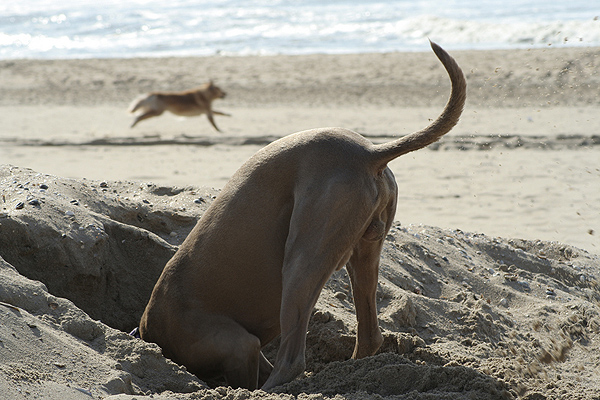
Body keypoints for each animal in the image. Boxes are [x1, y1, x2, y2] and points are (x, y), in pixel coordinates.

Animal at [141, 43, 468, 390]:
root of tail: (368, 153)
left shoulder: (237, 345)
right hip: (361, 250)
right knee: (369, 336)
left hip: (303, 257)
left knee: (293, 360)